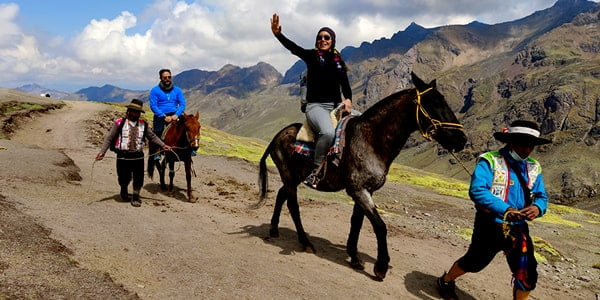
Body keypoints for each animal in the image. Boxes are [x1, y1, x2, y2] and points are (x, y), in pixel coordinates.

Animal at [253, 72, 468, 282]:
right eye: (433, 104)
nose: (462, 140)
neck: (372, 140)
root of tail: (277, 136)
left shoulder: (365, 190)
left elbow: (357, 222)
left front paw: (354, 257)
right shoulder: (358, 190)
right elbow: (380, 226)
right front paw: (380, 267)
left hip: (293, 178)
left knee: (281, 194)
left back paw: (274, 229)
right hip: (290, 177)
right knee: (293, 205)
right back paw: (305, 243)